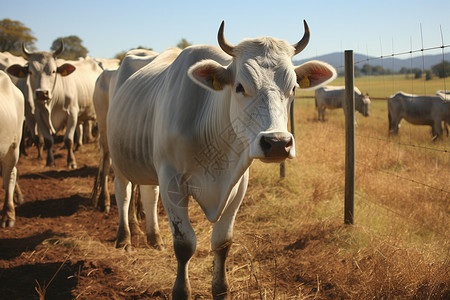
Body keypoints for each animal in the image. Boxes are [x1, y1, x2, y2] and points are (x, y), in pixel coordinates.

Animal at [7, 41, 102, 169]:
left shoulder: (72, 114)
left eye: (53, 71)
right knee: (80, 128)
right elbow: (48, 141)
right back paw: (78, 146)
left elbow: (68, 140)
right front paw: (50, 161)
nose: (42, 93)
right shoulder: (39, 117)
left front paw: (71, 162)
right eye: (30, 72)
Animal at [107, 20, 336, 298]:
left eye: (293, 88)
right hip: (117, 159)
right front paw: (181, 291)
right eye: (239, 86)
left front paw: (221, 289)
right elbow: (184, 245)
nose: (277, 143)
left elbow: (222, 243)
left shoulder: (237, 186)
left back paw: (154, 238)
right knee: (124, 193)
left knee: (149, 195)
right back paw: (124, 239)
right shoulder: (172, 182)